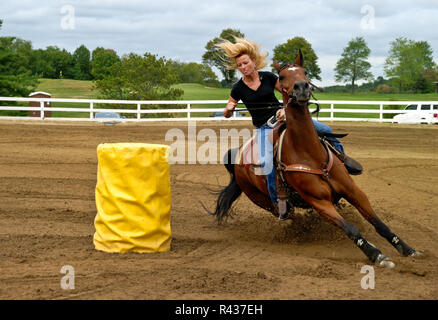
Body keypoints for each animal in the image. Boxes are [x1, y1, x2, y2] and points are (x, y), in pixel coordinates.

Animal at [212, 50, 420, 266]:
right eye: (282, 77)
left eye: (304, 72)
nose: (301, 88)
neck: (310, 153)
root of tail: (237, 156)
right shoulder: (319, 202)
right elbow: (350, 228)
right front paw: (377, 254)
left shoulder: (353, 191)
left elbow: (378, 222)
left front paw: (407, 248)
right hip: (264, 201)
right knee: (290, 216)